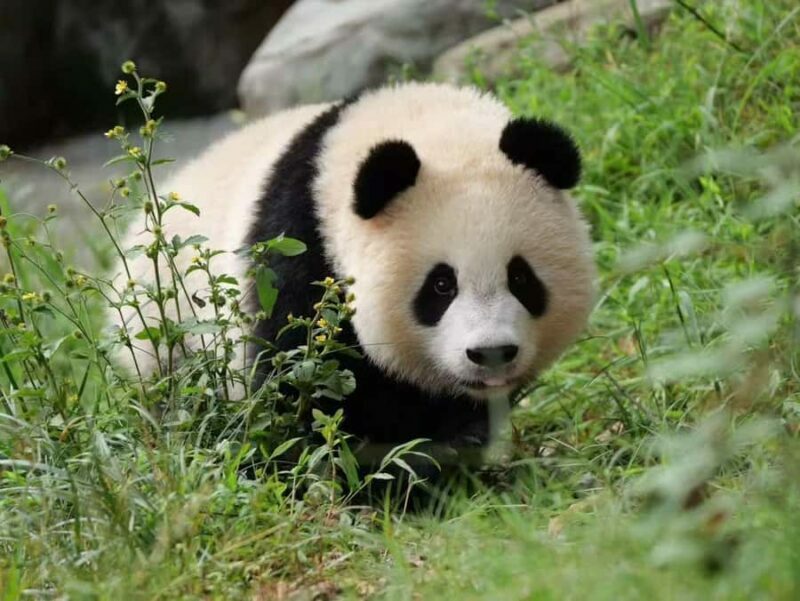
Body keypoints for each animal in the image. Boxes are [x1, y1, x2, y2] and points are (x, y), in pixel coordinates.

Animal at [113, 82, 596, 459]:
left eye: (521, 278)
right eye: (441, 285)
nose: (491, 353)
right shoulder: (296, 244)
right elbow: (298, 377)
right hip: (166, 332)